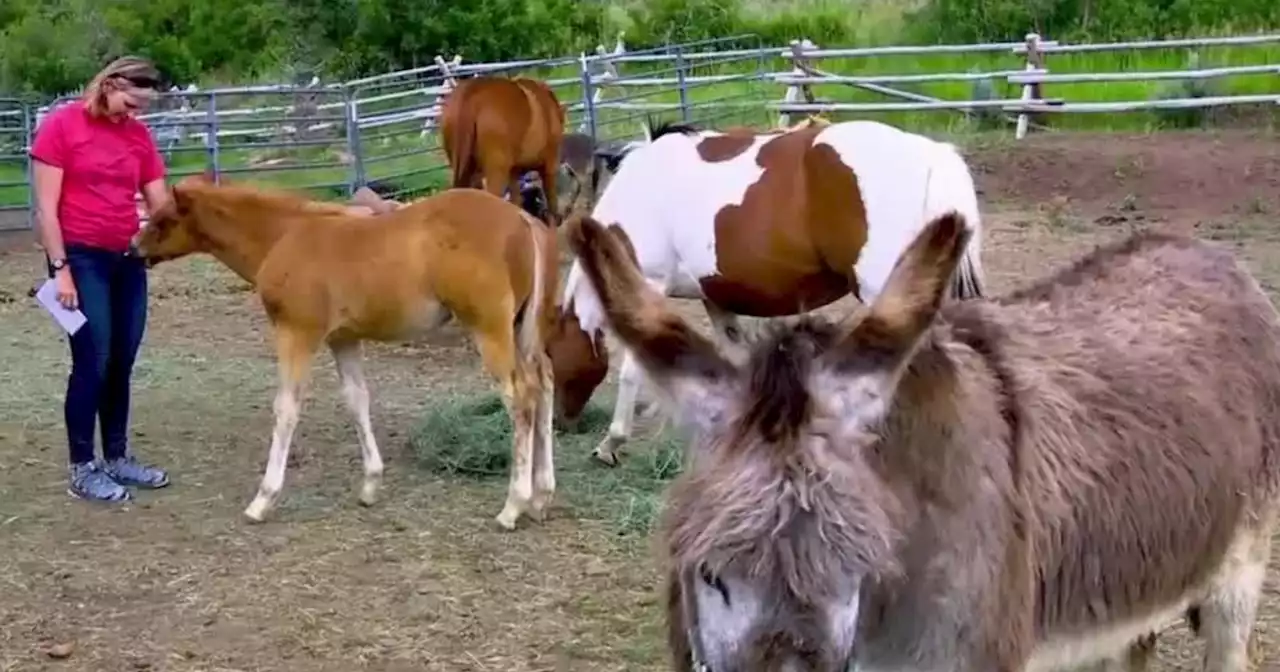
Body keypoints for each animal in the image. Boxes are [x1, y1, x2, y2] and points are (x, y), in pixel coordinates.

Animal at [128, 176, 560, 529]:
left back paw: (513, 506)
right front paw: (370, 485)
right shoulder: (343, 338)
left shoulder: (297, 332)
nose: (134, 249)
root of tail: (522, 219)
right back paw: (542, 497)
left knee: (520, 398)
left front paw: (263, 500)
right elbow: (357, 400)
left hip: (489, 329)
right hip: (523, 330)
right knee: (544, 386)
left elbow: (286, 408)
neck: (282, 236)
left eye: (164, 218)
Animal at [440, 74, 565, 224]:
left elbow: (517, 200)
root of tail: (472, 92)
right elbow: (551, 201)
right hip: (496, 171)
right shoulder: (549, 166)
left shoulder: (513, 172)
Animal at [545, 119, 983, 465]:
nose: (561, 422)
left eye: (551, 356)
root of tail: (931, 153)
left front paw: (611, 442)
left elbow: (632, 372)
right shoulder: (716, 299)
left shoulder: (649, 282)